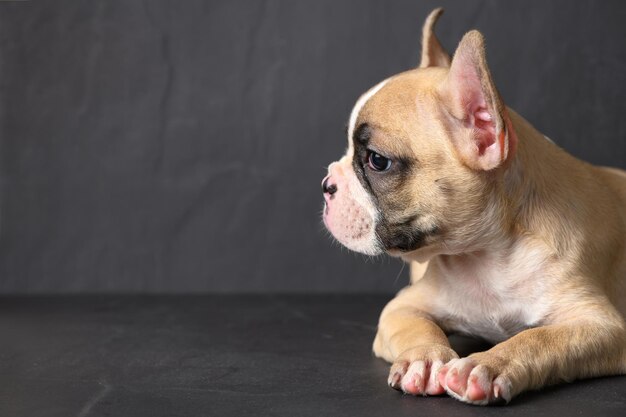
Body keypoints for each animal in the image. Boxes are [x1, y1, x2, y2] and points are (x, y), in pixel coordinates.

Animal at [322, 8, 624, 404]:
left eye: (377, 161)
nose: (326, 185)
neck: (489, 258)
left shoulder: (601, 325)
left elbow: (539, 337)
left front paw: (488, 364)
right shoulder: (400, 308)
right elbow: (416, 328)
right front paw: (425, 358)